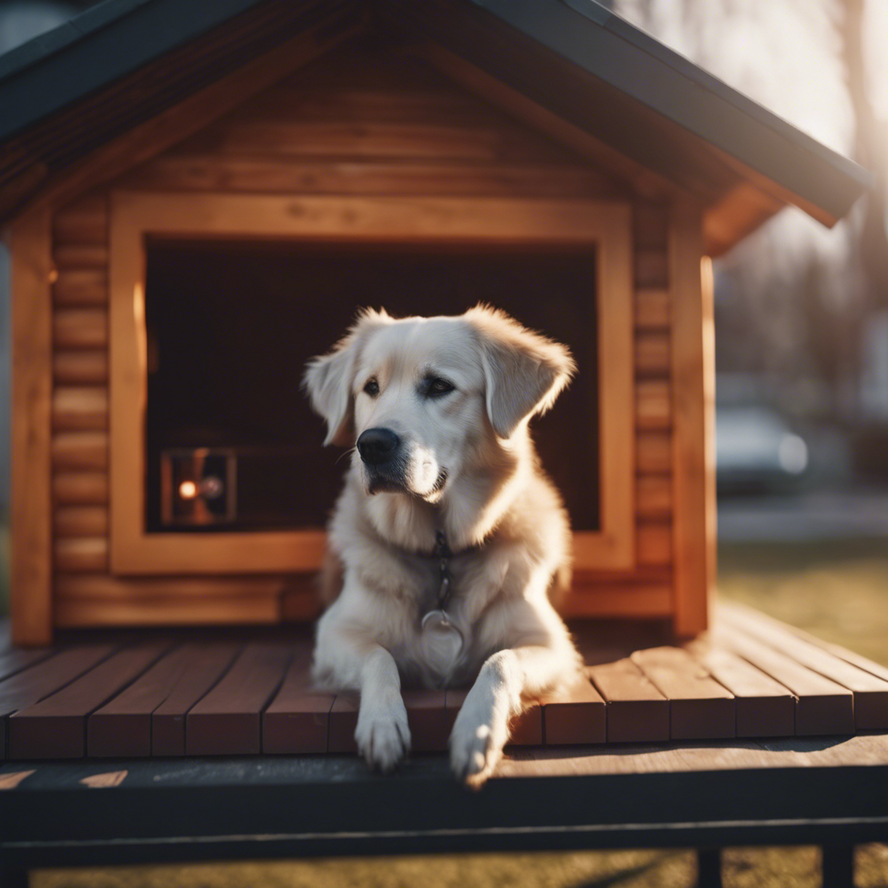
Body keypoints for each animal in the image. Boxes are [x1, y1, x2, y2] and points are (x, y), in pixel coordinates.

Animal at [306, 306, 584, 792]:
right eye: (371, 387)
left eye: (438, 386)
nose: (372, 444)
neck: (442, 551)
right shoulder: (334, 636)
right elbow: (379, 657)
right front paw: (382, 725)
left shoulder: (554, 646)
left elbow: (499, 660)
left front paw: (477, 732)